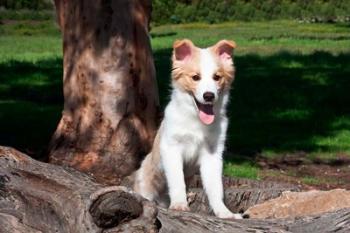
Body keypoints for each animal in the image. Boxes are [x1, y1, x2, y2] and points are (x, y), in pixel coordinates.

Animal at [133, 39, 241, 219]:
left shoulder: (212, 154)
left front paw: (224, 212)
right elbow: (177, 180)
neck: (196, 120)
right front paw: (179, 204)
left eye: (217, 77)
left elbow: (215, 187)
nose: (209, 96)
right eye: (195, 77)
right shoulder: (172, 148)